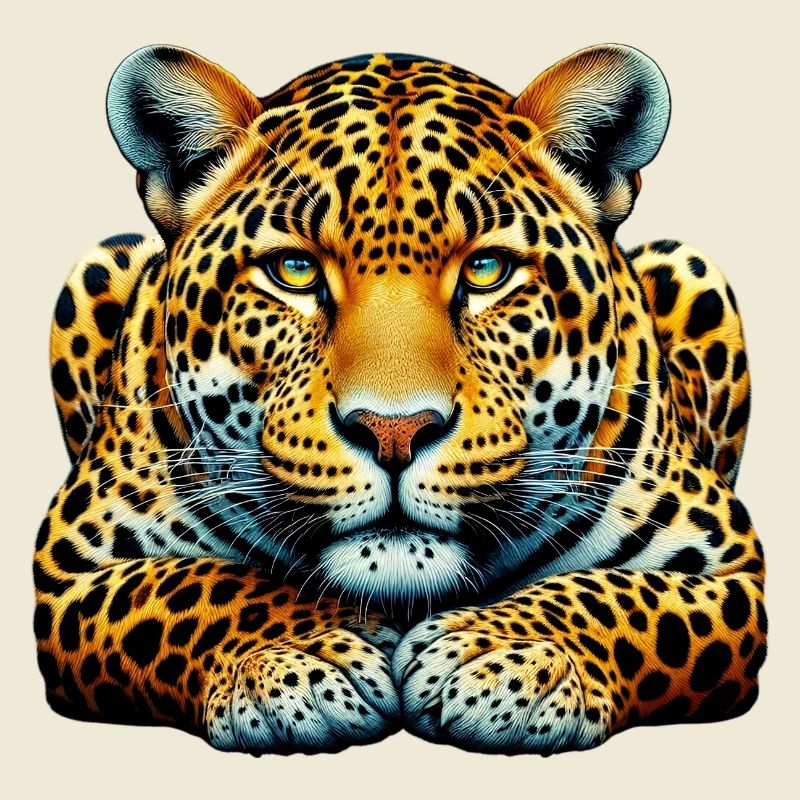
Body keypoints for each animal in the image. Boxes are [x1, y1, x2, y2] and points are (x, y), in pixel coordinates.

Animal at [34, 43, 766, 755]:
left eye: (487, 269)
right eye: (294, 270)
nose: (394, 432)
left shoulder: (733, 571)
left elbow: (616, 597)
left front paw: (504, 656)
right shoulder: (68, 570)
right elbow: (198, 585)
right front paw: (306, 658)